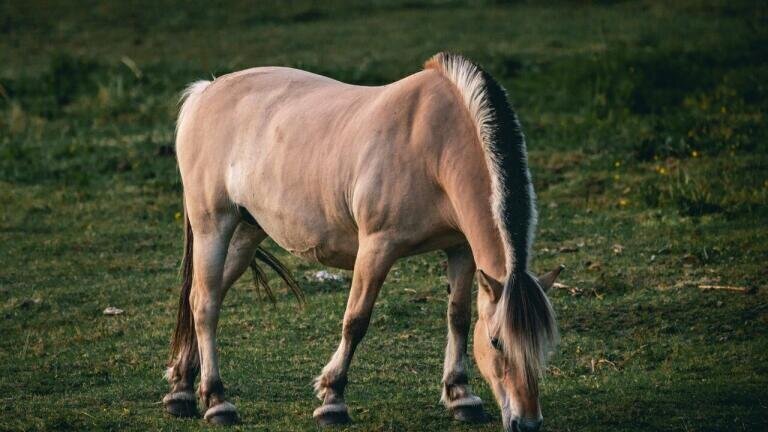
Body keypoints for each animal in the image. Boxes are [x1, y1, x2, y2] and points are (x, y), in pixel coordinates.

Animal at [163, 52, 562, 432]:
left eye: (544, 343)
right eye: (497, 343)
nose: (527, 423)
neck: (435, 146)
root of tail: (205, 91)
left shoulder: (460, 249)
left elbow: (459, 317)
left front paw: (460, 395)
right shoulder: (377, 247)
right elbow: (356, 320)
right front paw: (332, 398)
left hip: (246, 233)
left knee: (203, 296)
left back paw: (182, 391)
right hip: (213, 226)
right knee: (205, 304)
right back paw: (217, 401)